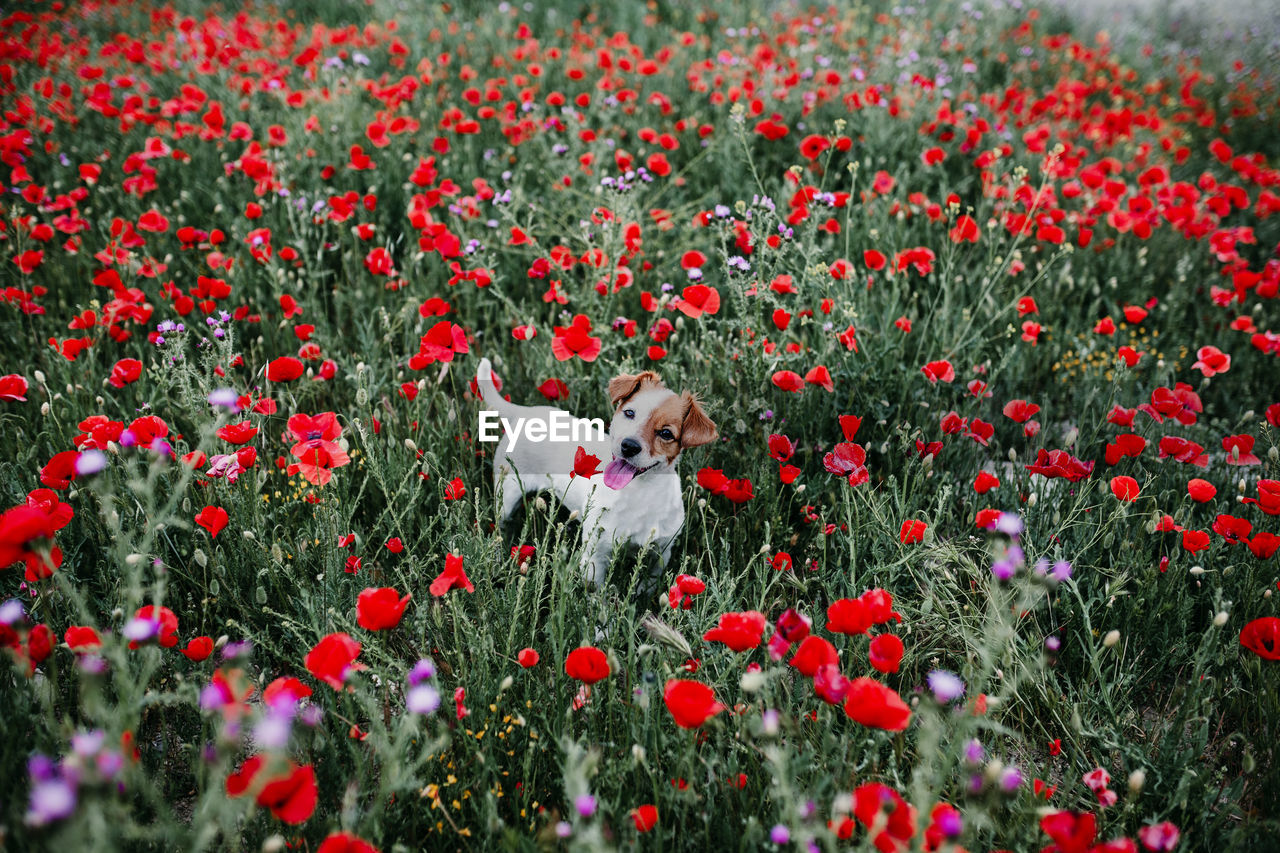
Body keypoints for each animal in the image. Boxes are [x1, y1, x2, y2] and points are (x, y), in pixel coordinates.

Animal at [476, 356, 716, 584]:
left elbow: (647, 586)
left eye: (666, 434)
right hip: (506, 496)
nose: (628, 446)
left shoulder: (661, 553)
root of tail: (524, 413)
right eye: (630, 413)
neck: (638, 492)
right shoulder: (596, 555)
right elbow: (596, 594)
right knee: (499, 530)